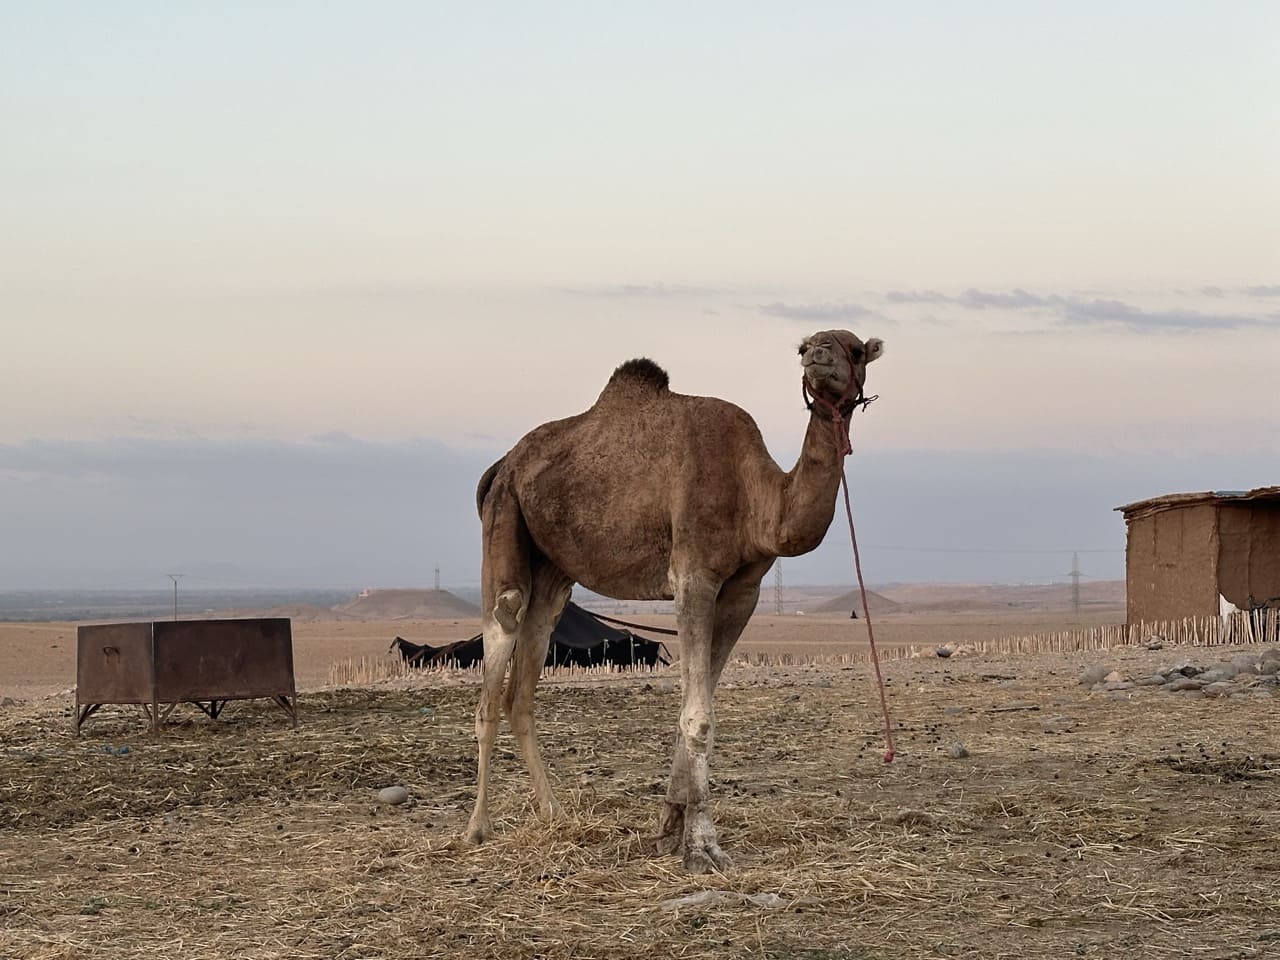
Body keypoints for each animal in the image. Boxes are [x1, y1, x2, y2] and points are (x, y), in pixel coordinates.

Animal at [465, 330, 885, 870]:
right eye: (805, 346)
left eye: (854, 350)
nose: (819, 355)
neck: (758, 498)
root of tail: (501, 464)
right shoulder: (693, 576)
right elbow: (698, 716)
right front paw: (702, 847)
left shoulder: (743, 591)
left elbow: (696, 703)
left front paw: (669, 827)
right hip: (506, 517)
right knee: (500, 644)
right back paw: (477, 828)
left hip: (553, 568)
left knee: (525, 679)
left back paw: (555, 815)